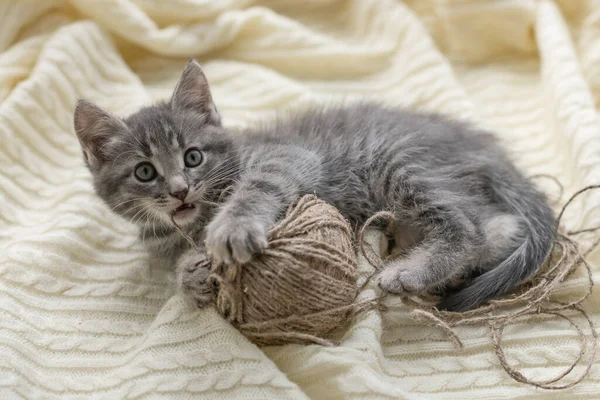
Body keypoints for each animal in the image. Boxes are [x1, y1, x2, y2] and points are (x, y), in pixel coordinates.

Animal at [74, 59, 552, 310]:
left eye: (193, 157)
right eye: (144, 172)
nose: (178, 190)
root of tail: (486, 148)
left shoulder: (286, 156)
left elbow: (255, 189)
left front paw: (230, 229)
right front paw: (190, 274)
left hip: (398, 161)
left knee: (469, 225)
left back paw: (411, 271)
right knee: (495, 221)